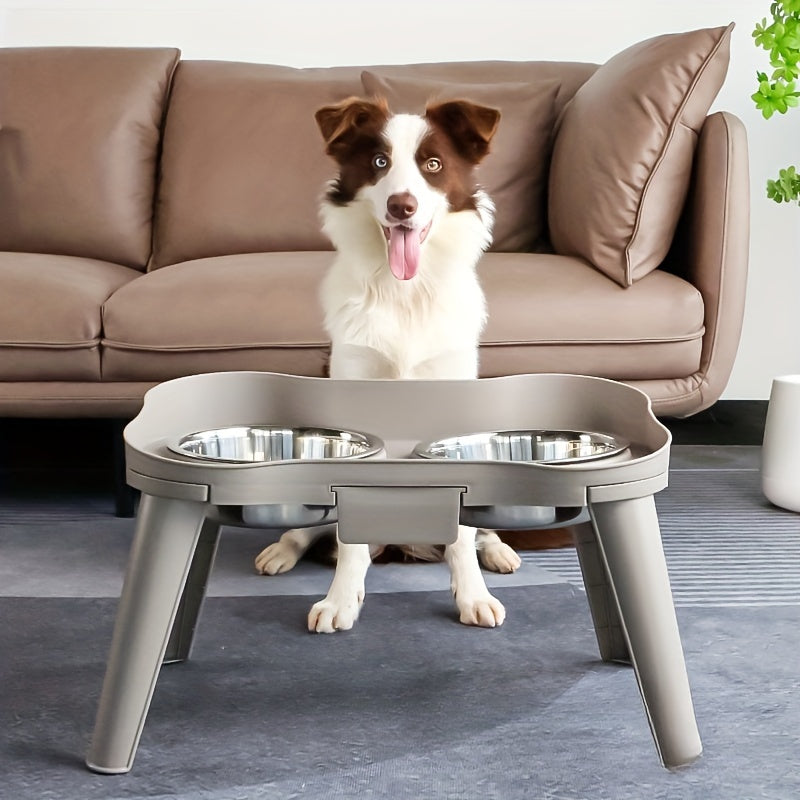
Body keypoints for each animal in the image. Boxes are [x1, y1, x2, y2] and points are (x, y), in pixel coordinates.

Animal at [253, 95, 520, 632]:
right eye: (379, 162)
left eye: (433, 165)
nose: (403, 207)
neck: (405, 294)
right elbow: (349, 532)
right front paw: (339, 600)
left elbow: (462, 536)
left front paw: (473, 595)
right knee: (314, 529)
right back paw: (282, 550)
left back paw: (498, 549)